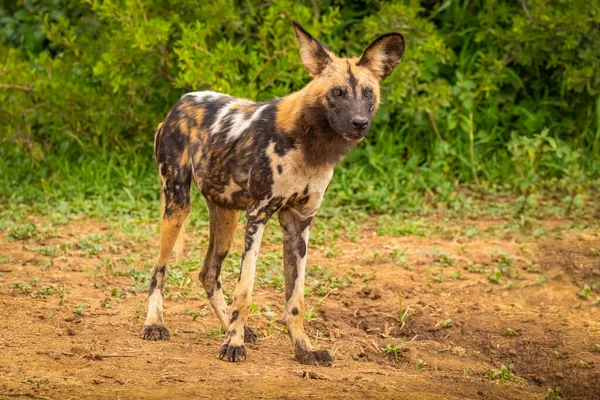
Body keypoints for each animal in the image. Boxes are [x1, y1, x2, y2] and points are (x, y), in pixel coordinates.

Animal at [141, 21, 404, 366]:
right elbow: (246, 290)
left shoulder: (298, 224)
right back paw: (155, 324)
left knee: (208, 273)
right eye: (336, 92)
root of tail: (180, 102)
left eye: (368, 93)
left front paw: (303, 349)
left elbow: (296, 300)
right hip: (177, 205)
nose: (359, 123)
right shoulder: (258, 216)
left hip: (226, 217)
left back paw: (230, 326)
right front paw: (233, 345)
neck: (311, 145)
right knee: (158, 270)